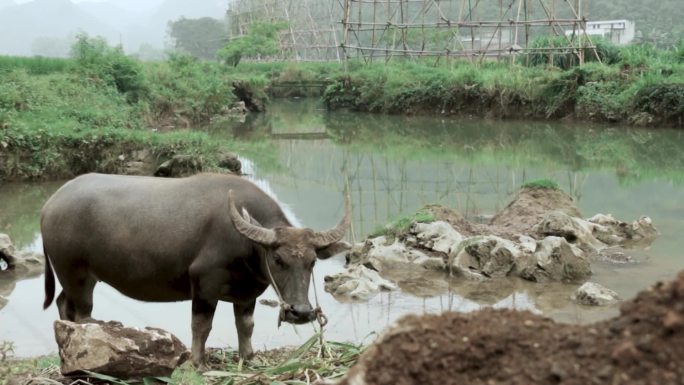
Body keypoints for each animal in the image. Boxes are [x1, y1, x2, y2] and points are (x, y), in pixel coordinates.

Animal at [41, 172, 352, 364]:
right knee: (82, 314)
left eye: (312, 262)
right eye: (278, 259)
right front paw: (197, 361)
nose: (301, 313)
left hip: (81, 278)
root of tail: (50, 205)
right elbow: (201, 326)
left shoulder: (246, 294)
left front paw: (248, 357)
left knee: (63, 305)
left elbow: (246, 326)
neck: (243, 242)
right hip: (75, 274)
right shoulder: (204, 285)